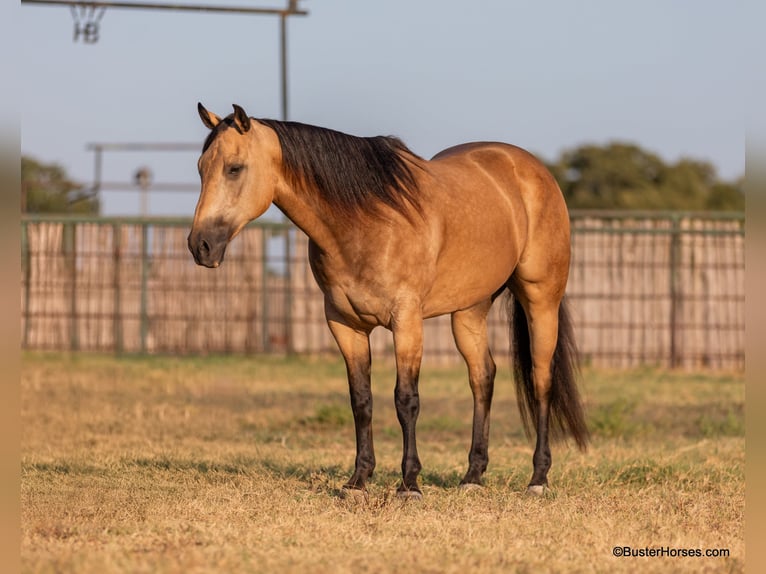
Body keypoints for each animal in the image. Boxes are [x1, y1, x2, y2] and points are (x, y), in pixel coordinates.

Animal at [188, 103, 589, 498]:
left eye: (234, 168)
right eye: (201, 168)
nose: (200, 245)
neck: (366, 220)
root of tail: (532, 170)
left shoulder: (406, 320)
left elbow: (406, 399)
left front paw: (409, 483)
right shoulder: (344, 324)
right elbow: (361, 400)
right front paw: (358, 480)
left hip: (540, 299)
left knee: (540, 379)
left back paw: (538, 478)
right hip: (469, 309)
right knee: (483, 377)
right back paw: (472, 476)